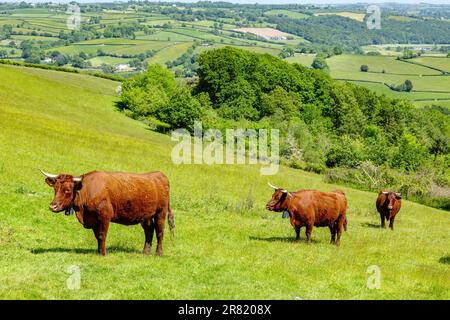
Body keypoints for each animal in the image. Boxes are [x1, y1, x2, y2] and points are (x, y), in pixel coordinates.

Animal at [40, 169, 174, 256]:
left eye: (67, 190)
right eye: (55, 188)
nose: (52, 206)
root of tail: (160, 175)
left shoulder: (105, 216)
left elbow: (102, 235)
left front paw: (103, 254)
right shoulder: (93, 220)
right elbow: (97, 236)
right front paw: (99, 251)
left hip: (160, 213)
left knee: (160, 232)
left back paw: (158, 253)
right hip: (146, 216)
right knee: (149, 231)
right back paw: (145, 252)